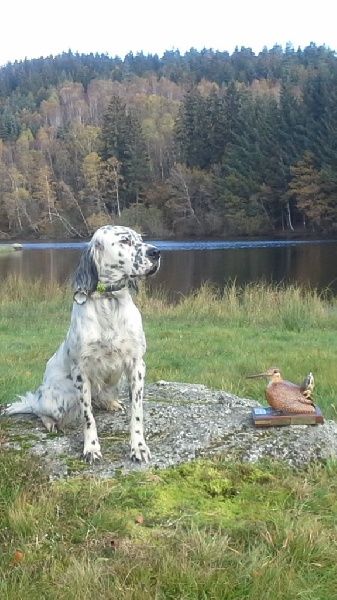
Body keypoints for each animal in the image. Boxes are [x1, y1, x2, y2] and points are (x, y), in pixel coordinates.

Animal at [2, 225, 160, 464]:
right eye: (125, 240)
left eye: (141, 239)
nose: (157, 252)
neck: (109, 300)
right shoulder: (81, 372)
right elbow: (88, 417)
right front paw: (91, 448)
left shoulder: (137, 365)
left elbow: (137, 413)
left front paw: (138, 447)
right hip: (57, 398)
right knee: (39, 409)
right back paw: (50, 422)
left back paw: (110, 403)